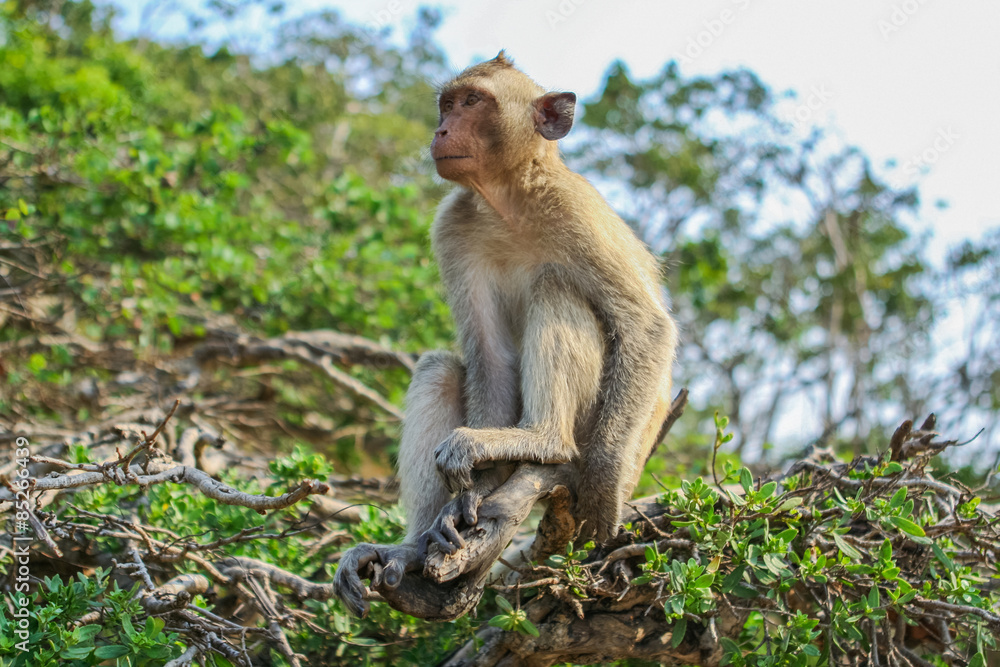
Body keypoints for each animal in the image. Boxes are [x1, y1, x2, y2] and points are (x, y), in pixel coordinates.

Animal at [334, 51, 677, 618]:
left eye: (474, 102)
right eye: (449, 103)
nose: (440, 129)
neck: (510, 199)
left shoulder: (577, 210)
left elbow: (646, 327)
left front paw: (604, 486)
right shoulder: (453, 226)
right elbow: (489, 358)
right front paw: (468, 497)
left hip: (598, 421)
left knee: (556, 287)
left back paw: (545, 440)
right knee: (443, 369)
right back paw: (417, 546)